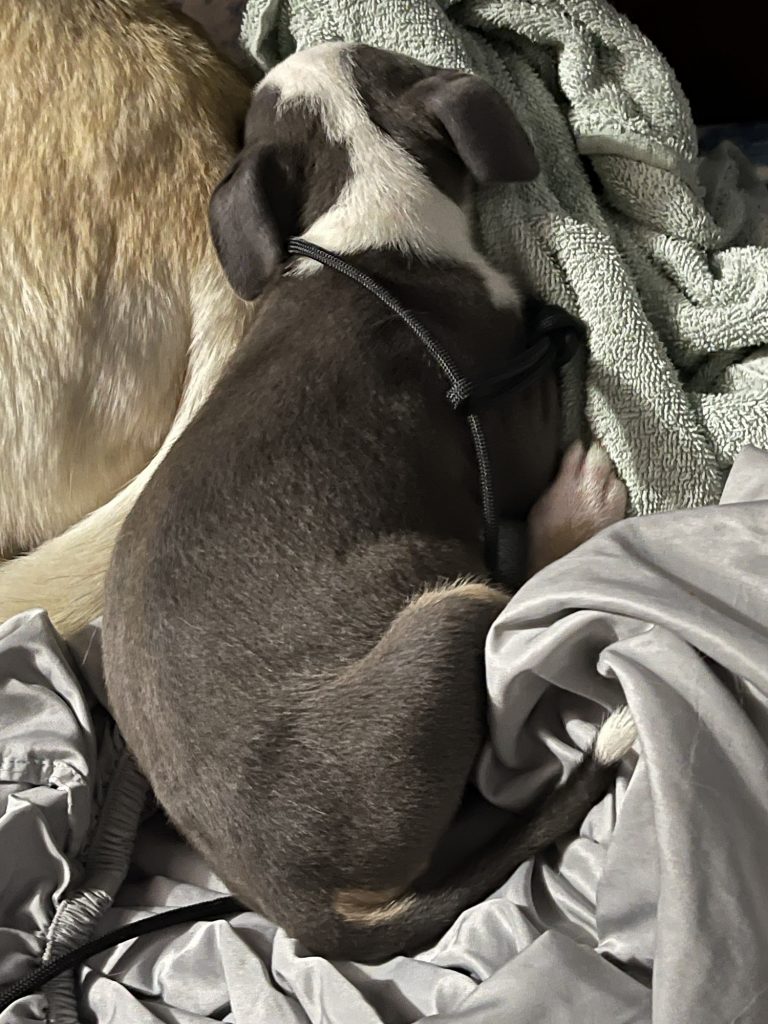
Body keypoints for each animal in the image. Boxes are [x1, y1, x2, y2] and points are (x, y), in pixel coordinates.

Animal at [103, 42, 634, 963]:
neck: (367, 211)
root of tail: (304, 911)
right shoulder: (510, 422)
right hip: (449, 612)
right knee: (509, 612)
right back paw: (576, 513)